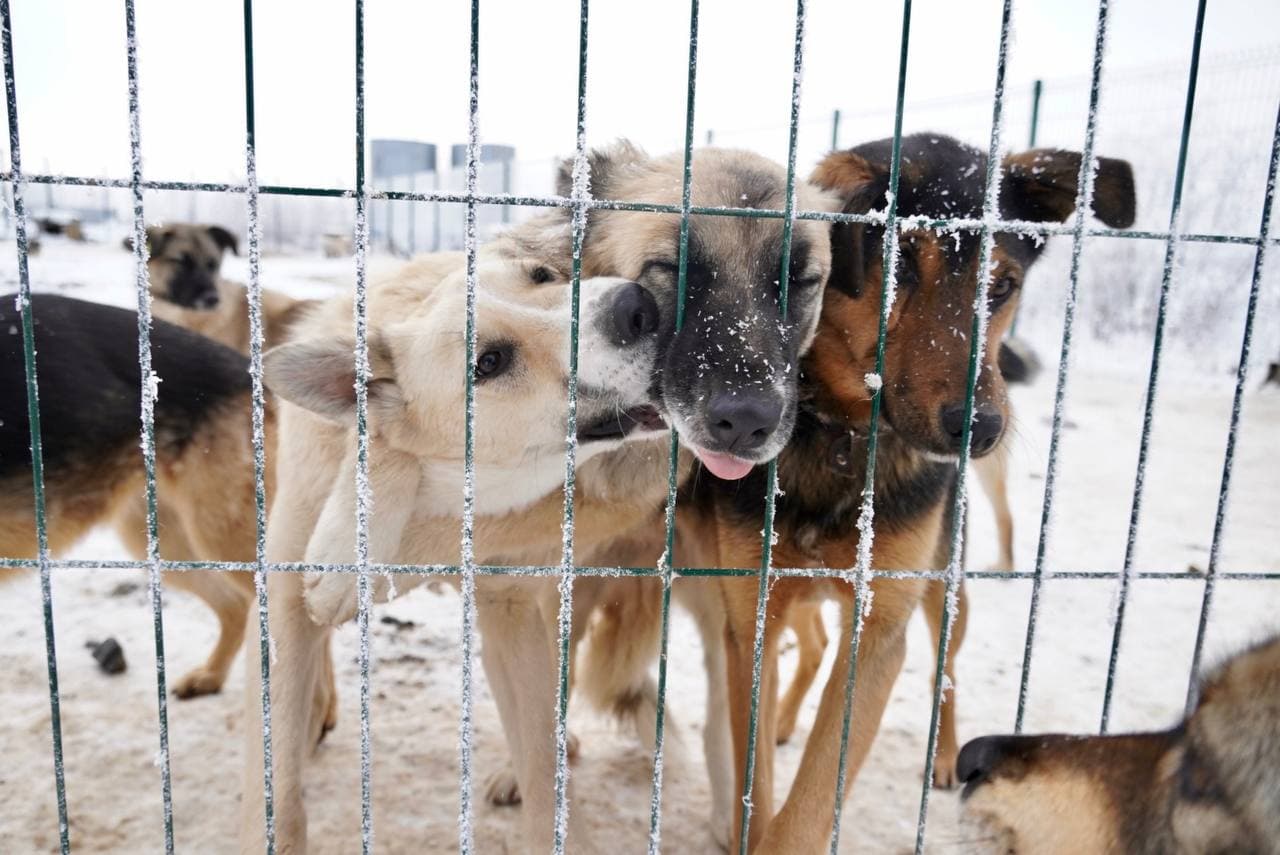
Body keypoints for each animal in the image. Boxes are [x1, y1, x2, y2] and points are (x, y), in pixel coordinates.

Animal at [691, 130, 1141, 849]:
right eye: (899, 267)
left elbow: (811, 801)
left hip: (939, 581)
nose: (980, 429)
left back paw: (946, 754)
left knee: (945, 669)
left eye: (1003, 285)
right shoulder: (751, 617)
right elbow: (752, 783)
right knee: (815, 645)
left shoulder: (880, 630)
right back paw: (790, 718)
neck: (843, 436)